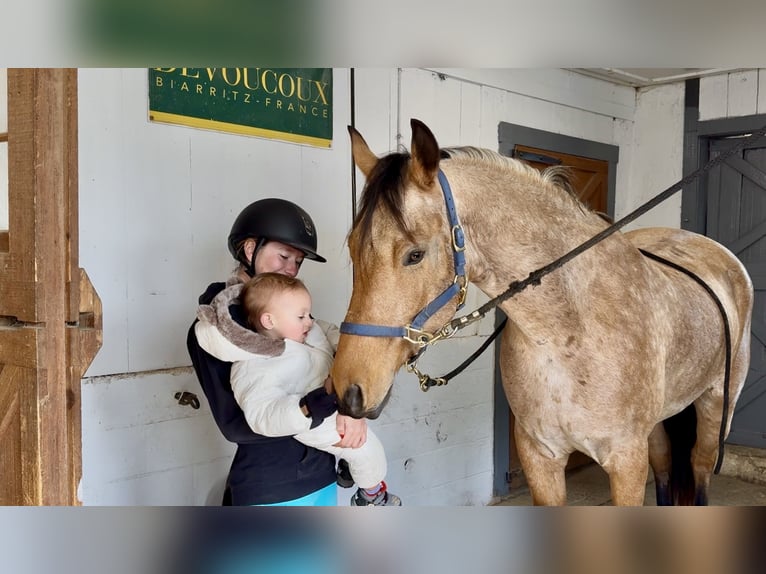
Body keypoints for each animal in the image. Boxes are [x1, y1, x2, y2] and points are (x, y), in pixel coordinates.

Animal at [330, 118, 754, 506]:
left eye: (415, 255)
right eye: (351, 247)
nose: (347, 392)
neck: (566, 332)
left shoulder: (626, 461)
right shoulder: (540, 456)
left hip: (716, 406)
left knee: (699, 467)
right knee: (665, 465)